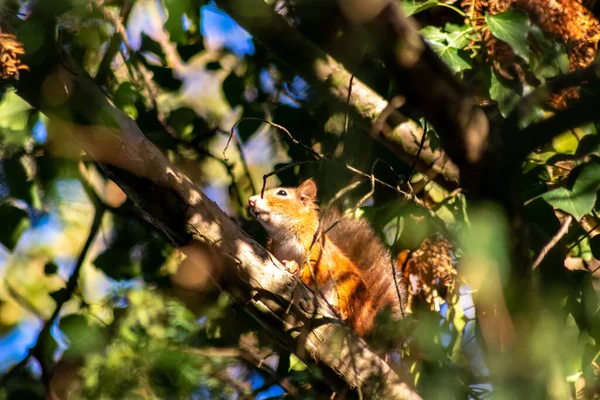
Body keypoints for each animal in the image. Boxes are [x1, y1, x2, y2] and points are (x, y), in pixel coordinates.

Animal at [248, 179, 408, 338]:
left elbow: (322, 270)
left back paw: (340, 312)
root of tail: (368, 320)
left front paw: (295, 268)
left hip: (348, 286)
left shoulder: (318, 249)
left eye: (282, 193)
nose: (251, 201)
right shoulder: (274, 249)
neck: (284, 235)